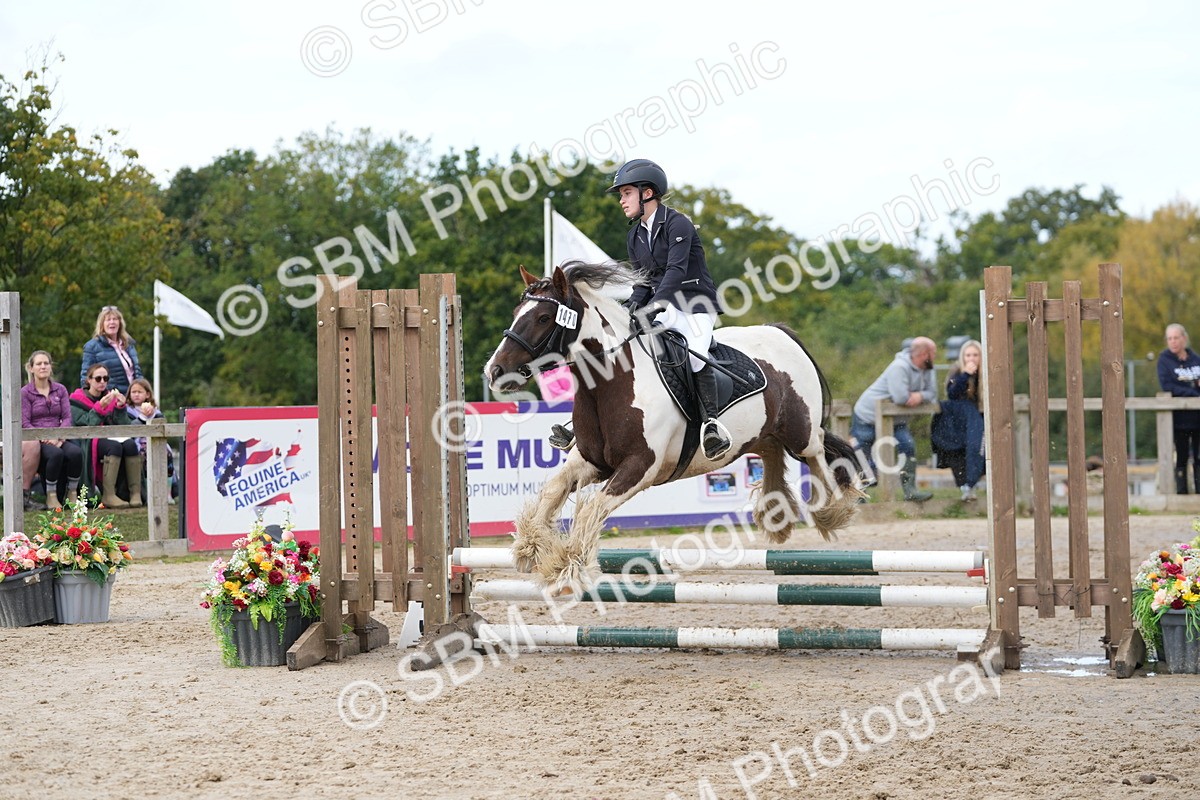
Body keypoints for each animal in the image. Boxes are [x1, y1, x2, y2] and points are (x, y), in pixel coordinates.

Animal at [483, 261, 864, 594]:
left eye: (544, 317)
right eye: (517, 312)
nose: (495, 370)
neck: (612, 382)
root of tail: (781, 333)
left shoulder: (639, 467)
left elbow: (591, 508)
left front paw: (567, 566)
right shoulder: (593, 461)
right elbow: (552, 490)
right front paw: (529, 549)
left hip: (799, 431)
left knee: (816, 451)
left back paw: (831, 509)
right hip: (762, 433)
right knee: (771, 451)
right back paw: (776, 517)